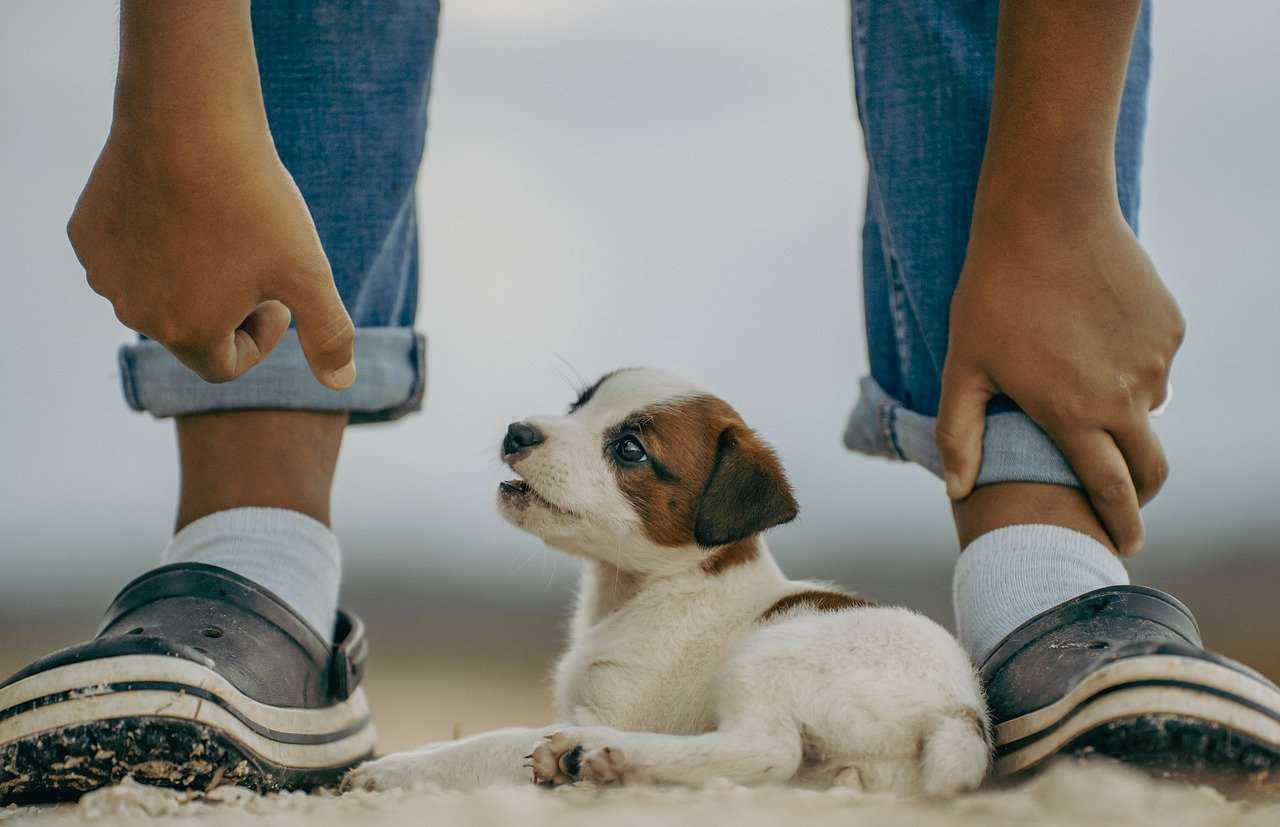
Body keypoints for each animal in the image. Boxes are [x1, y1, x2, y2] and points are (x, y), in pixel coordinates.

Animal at [348, 368, 988, 798]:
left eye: (630, 448)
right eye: (578, 405)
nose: (517, 431)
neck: (650, 590)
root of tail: (962, 713)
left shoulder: (611, 710)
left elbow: (489, 743)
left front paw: (396, 770)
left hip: (770, 656)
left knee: (766, 751)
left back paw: (596, 757)